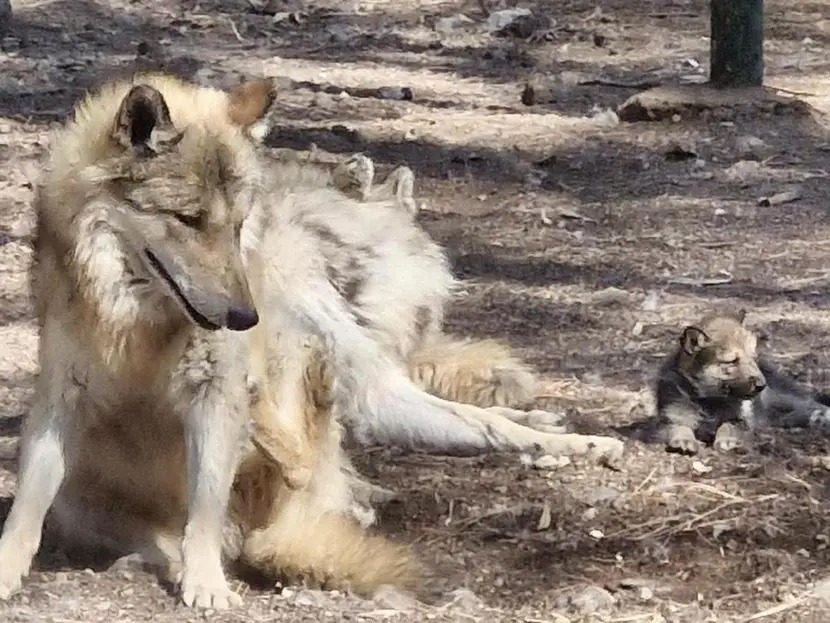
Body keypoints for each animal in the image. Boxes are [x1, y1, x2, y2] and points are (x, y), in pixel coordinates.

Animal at [0, 71, 624, 609]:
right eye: (189, 219)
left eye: (236, 225)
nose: (242, 316)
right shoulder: (66, 393)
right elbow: (30, 501)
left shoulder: (246, 384)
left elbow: (490, 421)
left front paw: (571, 436)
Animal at [649, 311, 830, 454]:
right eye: (732, 361)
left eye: (753, 357)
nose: (762, 385)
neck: (709, 401)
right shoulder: (669, 419)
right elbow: (679, 426)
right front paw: (683, 439)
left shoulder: (741, 420)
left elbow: (728, 425)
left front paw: (726, 439)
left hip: (780, 398)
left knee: (808, 404)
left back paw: (819, 416)